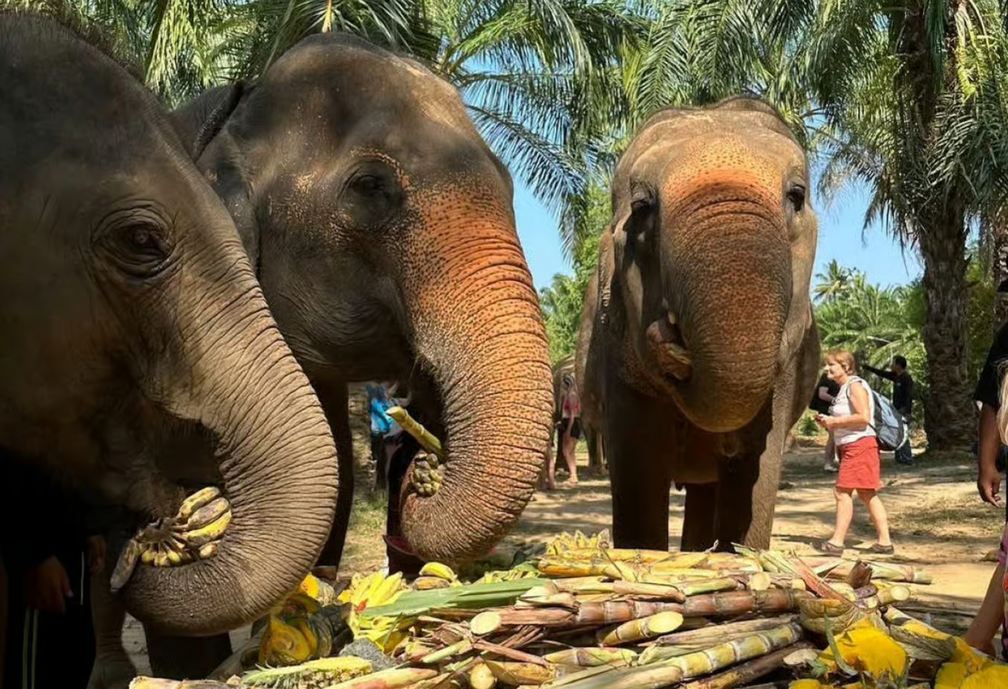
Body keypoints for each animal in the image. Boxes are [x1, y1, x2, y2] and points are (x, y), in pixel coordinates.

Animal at [578, 96, 821, 553]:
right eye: (642, 207)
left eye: (796, 196)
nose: (669, 338)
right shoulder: (616, 357)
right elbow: (639, 469)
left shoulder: (786, 374)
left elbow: (755, 469)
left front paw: (739, 552)